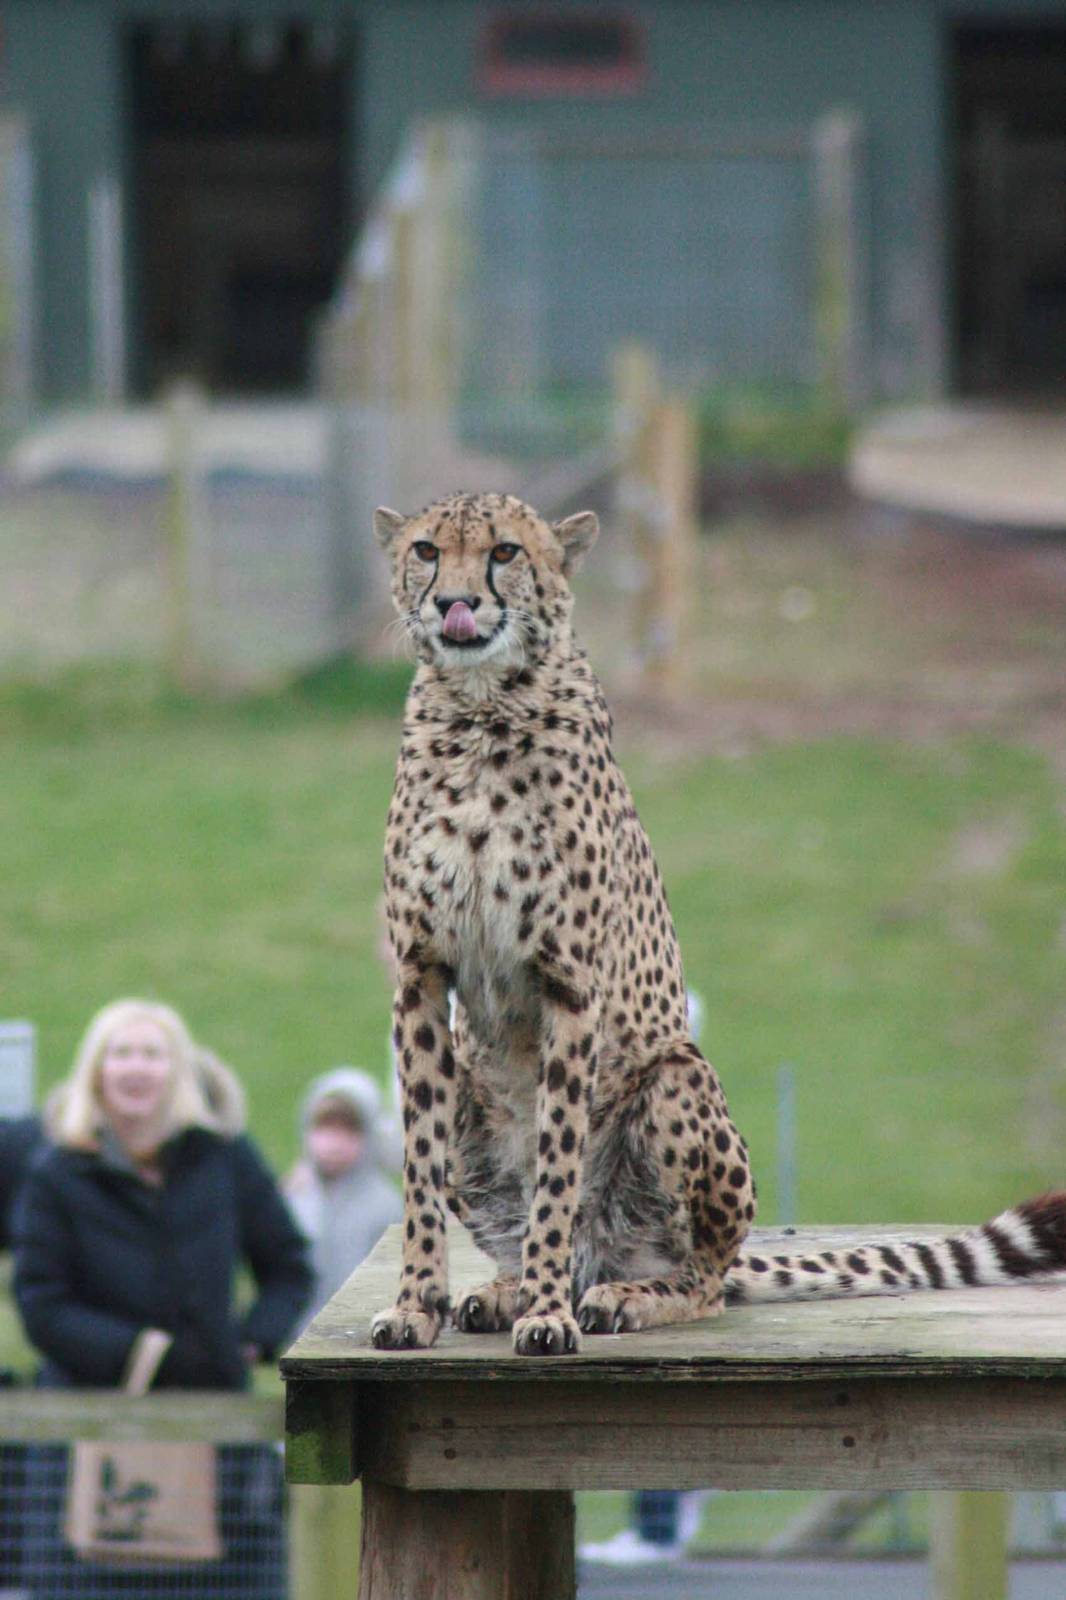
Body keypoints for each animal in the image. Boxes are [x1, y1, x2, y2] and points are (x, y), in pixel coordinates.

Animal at [369, 491, 1066, 1358]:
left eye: (504, 553)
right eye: (427, 550)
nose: (454, 603)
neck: (481, 706)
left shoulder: (568, 984)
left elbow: (557, 1163)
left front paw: (546, 1315)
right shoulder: (420, 977)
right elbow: (420, 1166)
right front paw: (417, 1304)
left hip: (677, 1078)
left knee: (699, 1278)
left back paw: (616, 1296)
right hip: (478, 1080)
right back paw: (503, 1290)